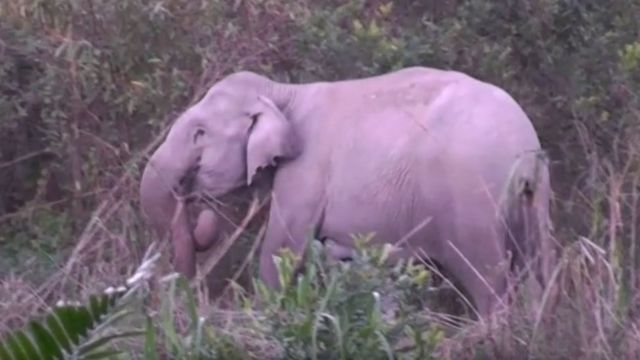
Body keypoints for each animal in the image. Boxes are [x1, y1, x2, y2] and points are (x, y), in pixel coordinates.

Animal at [140, 66, 556, 320]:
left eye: (199, 133)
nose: (198, 208)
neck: (282, 93)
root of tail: (522, 148)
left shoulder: (306, 170)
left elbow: (280, 249)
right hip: (535, 201)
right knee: (536, 270)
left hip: (472, 204)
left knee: (488, 282)